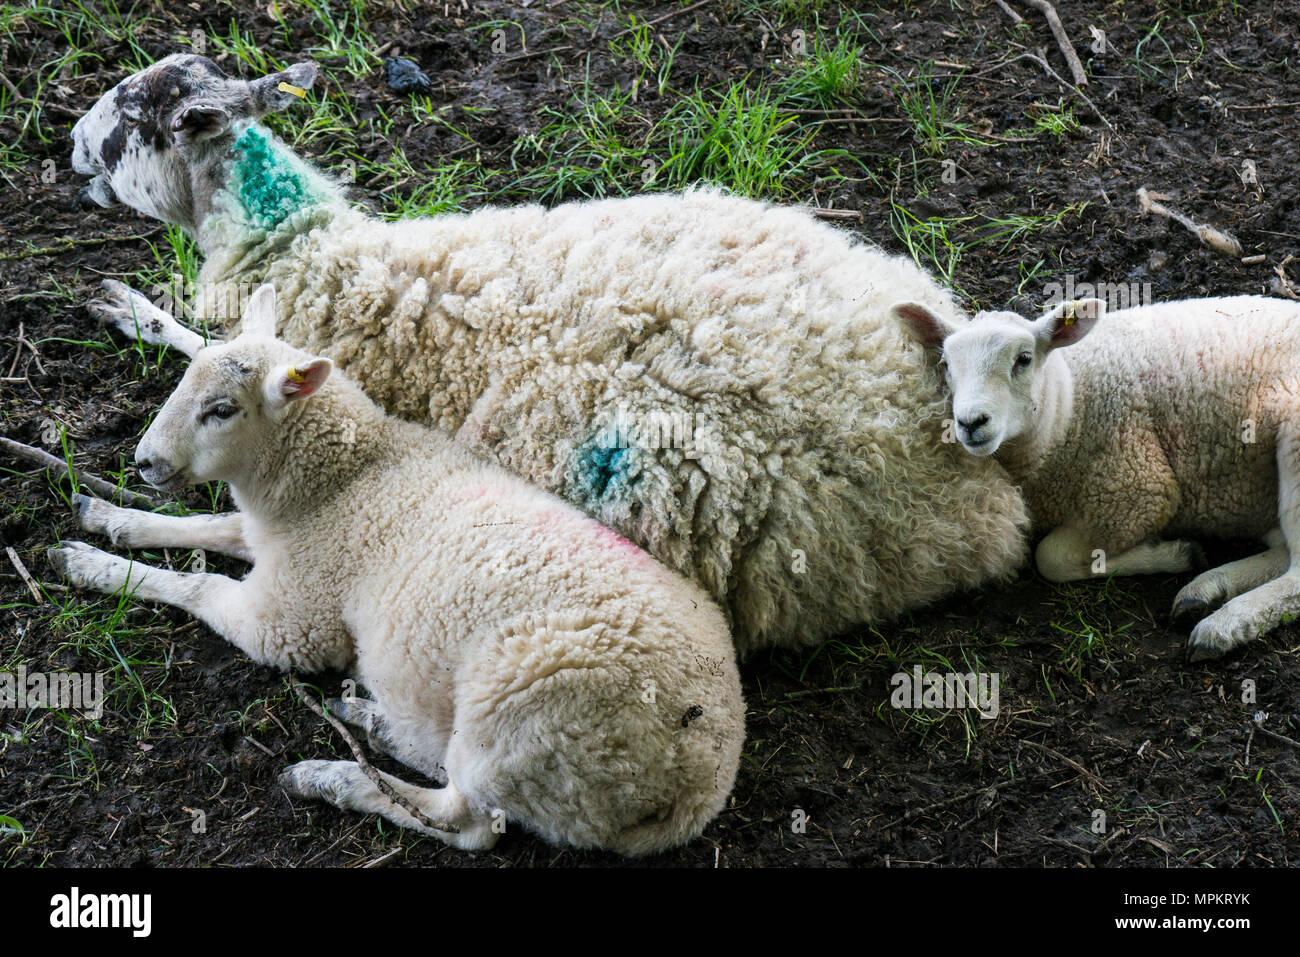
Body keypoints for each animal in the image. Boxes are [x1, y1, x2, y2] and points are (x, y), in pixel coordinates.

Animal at [47, 284, 745, 856]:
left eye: (221, 409)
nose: (144, 463)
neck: (345, 479)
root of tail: (702, 783)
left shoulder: (296, 617)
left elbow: (200, 583)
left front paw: (93, 567)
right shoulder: (277, 542)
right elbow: (203, 529)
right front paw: (105, 522)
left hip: (524, 719)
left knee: (469, 823)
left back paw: (333, 777)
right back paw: (370, 720)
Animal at [71, 53, 1031, 655]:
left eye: (130, 121)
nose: (73, 145)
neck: (307, 249)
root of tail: (979, 490)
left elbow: (205, 353)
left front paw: (133, 313)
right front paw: (129, 310)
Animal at [892, 294, 1300, 660]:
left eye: (1023, 359)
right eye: (946, 364)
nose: (971, 422)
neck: (1069, 409)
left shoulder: (1137, 489)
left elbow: (1050, 558)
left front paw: (1170, 553)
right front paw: (1184, 554)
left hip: (1294, 438)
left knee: (1297, 574)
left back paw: (1224, 625)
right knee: (1283, 551)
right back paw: (1207, 590)